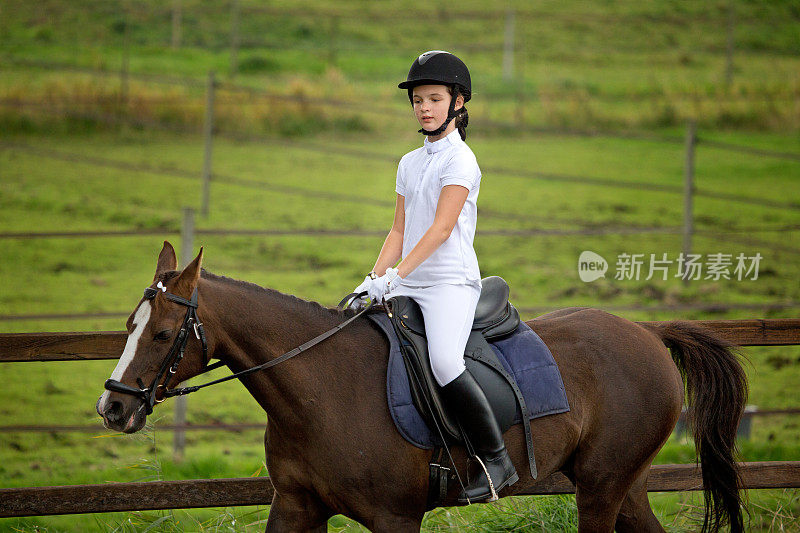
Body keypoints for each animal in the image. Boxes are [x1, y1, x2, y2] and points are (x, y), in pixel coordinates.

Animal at [97, 242, 748, 532]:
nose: (112, 407)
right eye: (128, 325)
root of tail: (649, 332)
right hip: (622, 483)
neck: (319, 391)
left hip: (602, 487)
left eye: (161, 334)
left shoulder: (394, 518)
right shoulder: (296, 505)